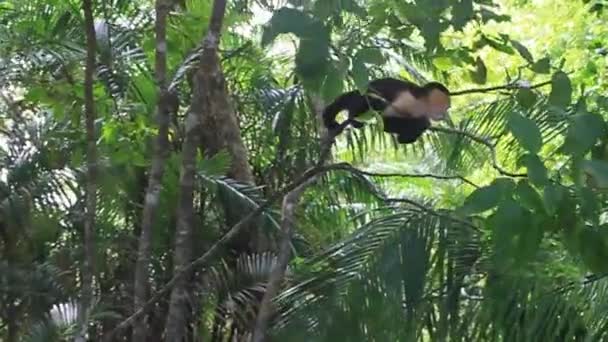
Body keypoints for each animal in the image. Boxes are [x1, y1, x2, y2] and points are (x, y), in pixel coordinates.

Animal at [324, 77, 452, 143]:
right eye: (445, 106)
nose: (445, 114)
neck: (423, 103)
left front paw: (406, 137)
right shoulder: (408, 100)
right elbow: (385, 120)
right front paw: (421, 123)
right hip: (361, 96)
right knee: (372, 100)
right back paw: (354, 118)